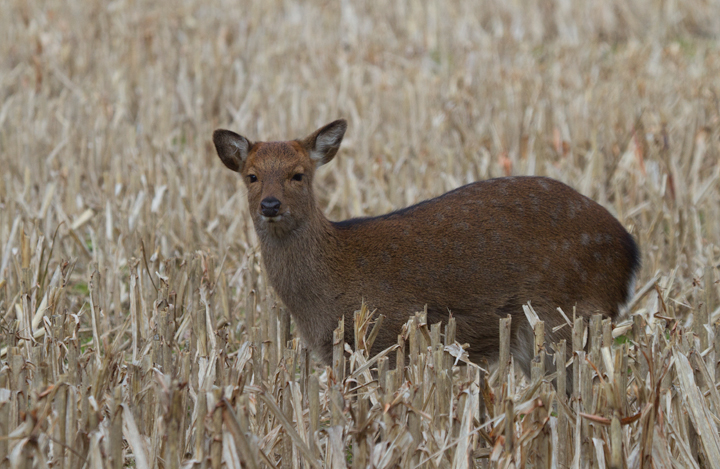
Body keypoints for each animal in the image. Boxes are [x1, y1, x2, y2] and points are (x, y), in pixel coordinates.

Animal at [213, 119, 641, 381]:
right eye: (252, 176)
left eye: (298, 174)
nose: (270, 205)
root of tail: (629, 250)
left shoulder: (386, 338)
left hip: (566, 318)